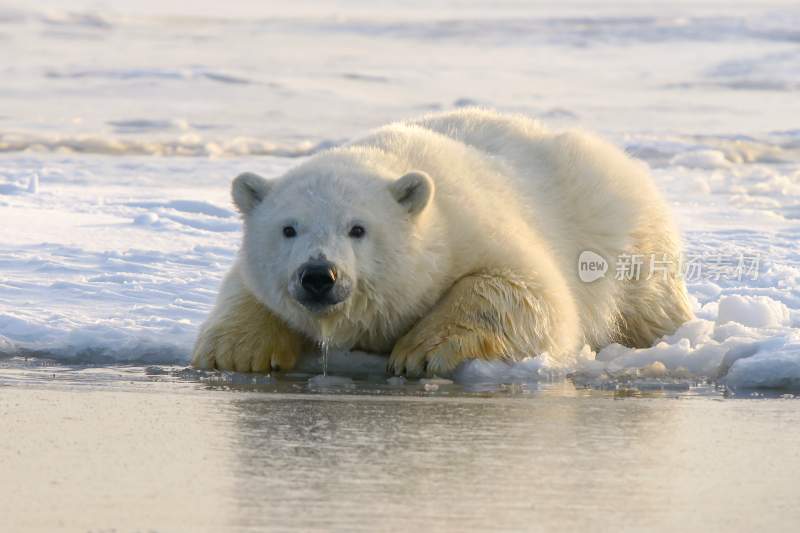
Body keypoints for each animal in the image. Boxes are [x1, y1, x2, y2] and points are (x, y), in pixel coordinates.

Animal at [191, 107, 692, 374]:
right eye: (288, 228)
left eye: (358, 228)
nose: (319, 275)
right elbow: (244, 288)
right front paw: (238, 352)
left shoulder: (474, 227)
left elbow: (528, 292)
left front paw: (420, 352)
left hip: (623, 236)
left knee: (648, 303)